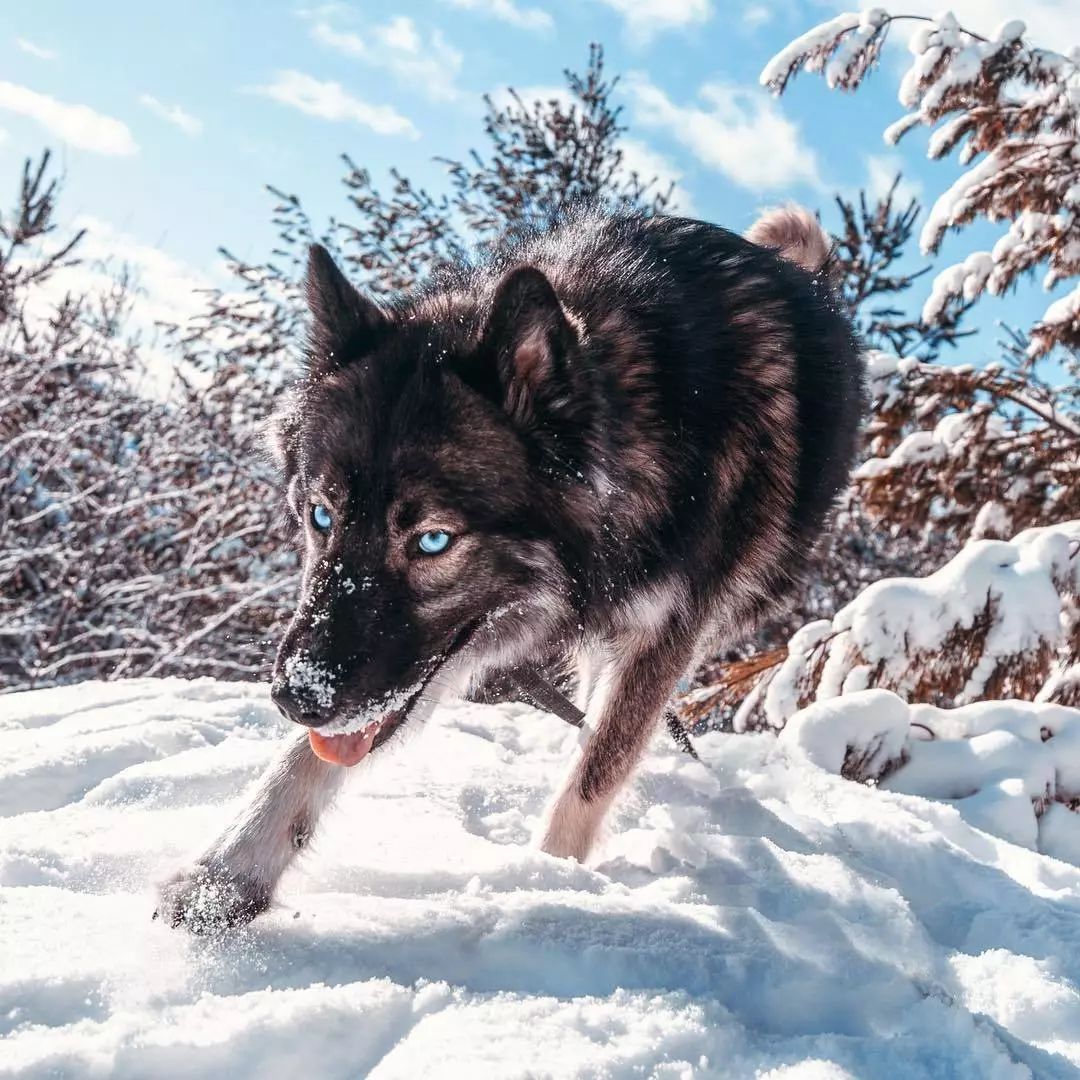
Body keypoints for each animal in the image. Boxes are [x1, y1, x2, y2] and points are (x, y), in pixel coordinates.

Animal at [159, 206, 864, 933]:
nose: (295, 697)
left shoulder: (665, 632)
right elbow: (305, 756)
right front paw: (225, 876)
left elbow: (599, 769)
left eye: (432, 540)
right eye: (321, 516)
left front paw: (548, 885)